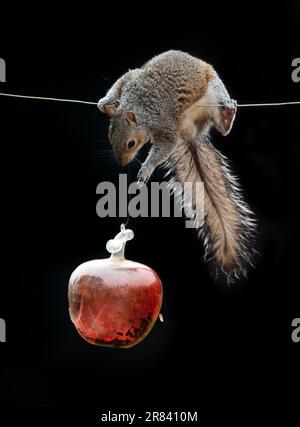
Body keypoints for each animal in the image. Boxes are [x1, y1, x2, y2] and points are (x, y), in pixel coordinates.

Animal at [98, 50, 255, 282]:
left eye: (131, 143)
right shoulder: (129, 80)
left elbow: (164, 149)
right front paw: (104, 102)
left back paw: (227, 117)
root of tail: (192, 134)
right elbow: (117, 85)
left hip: (214, 94)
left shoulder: (166, 125)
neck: (139, 104)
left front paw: (146, 169)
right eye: (109, 138)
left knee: (222, 126)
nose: (122, 163)